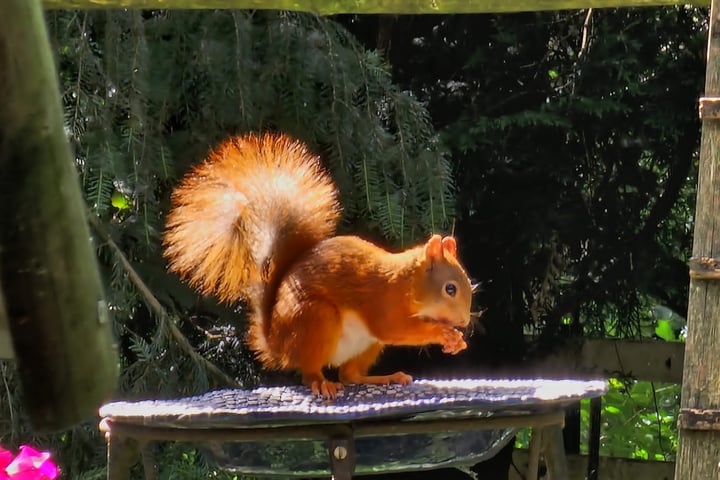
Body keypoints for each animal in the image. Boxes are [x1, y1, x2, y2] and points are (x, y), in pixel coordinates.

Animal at [165, 132, 476, 398]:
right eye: (450, 289)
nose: (463, 321)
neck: (405, 283)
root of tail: (279, 345)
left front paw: (456, 340)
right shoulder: (382, 303)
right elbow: (394, 329)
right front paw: (443, 333)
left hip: (366, 344)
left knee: (350, 375)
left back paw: (386, 377)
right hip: (317, 319)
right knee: (311, 372)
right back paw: (321, 383)